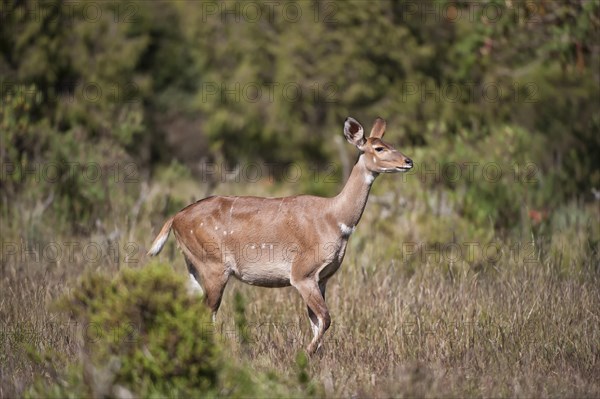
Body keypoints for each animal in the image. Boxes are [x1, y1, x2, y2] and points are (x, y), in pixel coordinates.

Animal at [148, 115, 414, 354]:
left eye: (390, 143)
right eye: (379, 148)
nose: (408, 161)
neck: (335, 220)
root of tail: (175, 218)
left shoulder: (323, 278)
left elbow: (316, 322)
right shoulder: (302, 272)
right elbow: (325, 319)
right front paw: (305, 353)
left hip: (193, 264)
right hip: (213, 264)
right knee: (207, 310)